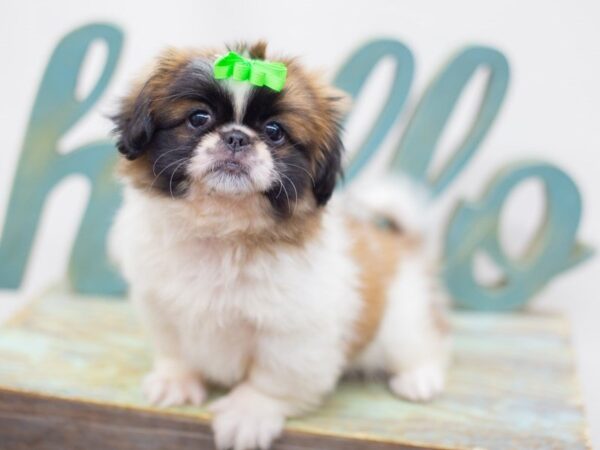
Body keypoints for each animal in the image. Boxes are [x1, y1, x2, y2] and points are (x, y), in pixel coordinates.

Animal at [109, 42, 450, 450]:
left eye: (274, 132)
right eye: (198, 118)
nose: (236, 137)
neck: (223, 232)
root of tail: (402, 244)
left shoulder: (292, 334)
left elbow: (273, 379)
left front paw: (249, 413)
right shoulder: (161, 309)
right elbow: (174, 350)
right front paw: (176, 381)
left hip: (401, 318)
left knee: (423, 343)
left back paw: (419, 378)